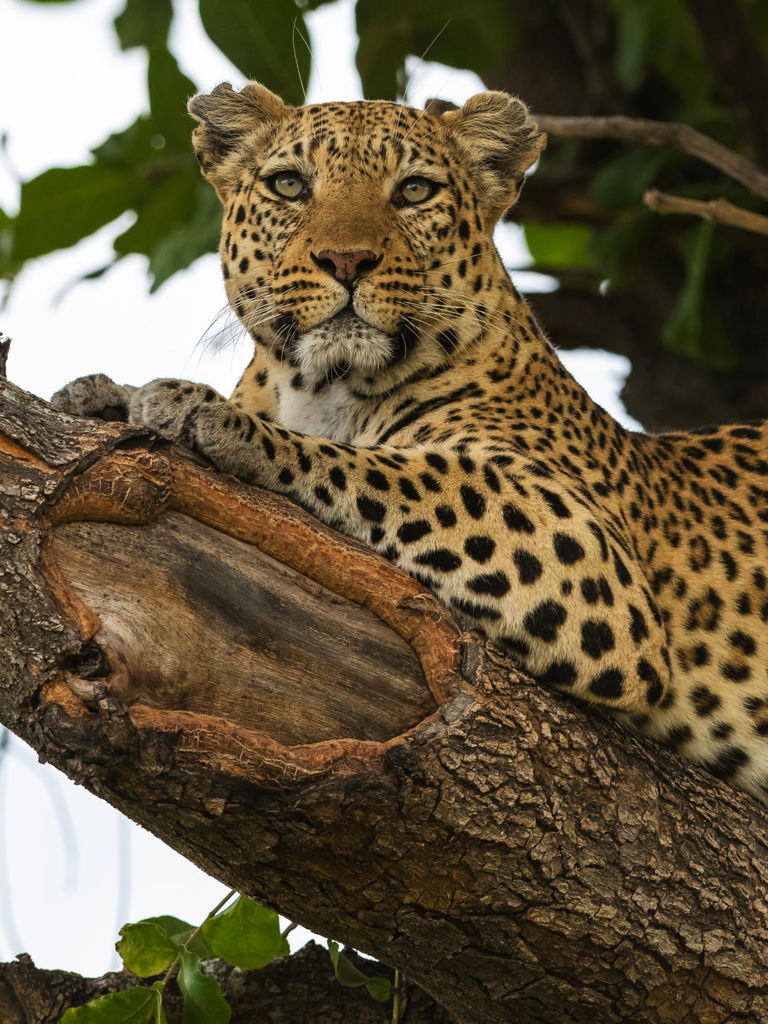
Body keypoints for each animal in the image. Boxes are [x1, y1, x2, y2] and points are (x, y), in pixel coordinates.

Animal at [52, 82, 768, 803]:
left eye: (416, 191)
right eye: (289, 184)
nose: (347, 261)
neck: (317, 386)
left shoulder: (588, 553)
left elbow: (386, 468)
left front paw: (206, 414)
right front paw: (104, 393)